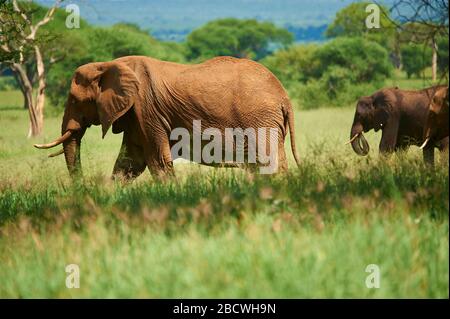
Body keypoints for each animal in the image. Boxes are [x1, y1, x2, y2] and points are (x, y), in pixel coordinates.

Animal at [34, 56, 298, 179]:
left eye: (74, 100)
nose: (84, 186)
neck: (108, 65)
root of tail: (284, 96)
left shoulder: (146, 109)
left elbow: (157, 162)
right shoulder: (136, 115)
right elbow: (130, 162)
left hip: (260, 119)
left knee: (268, 162)